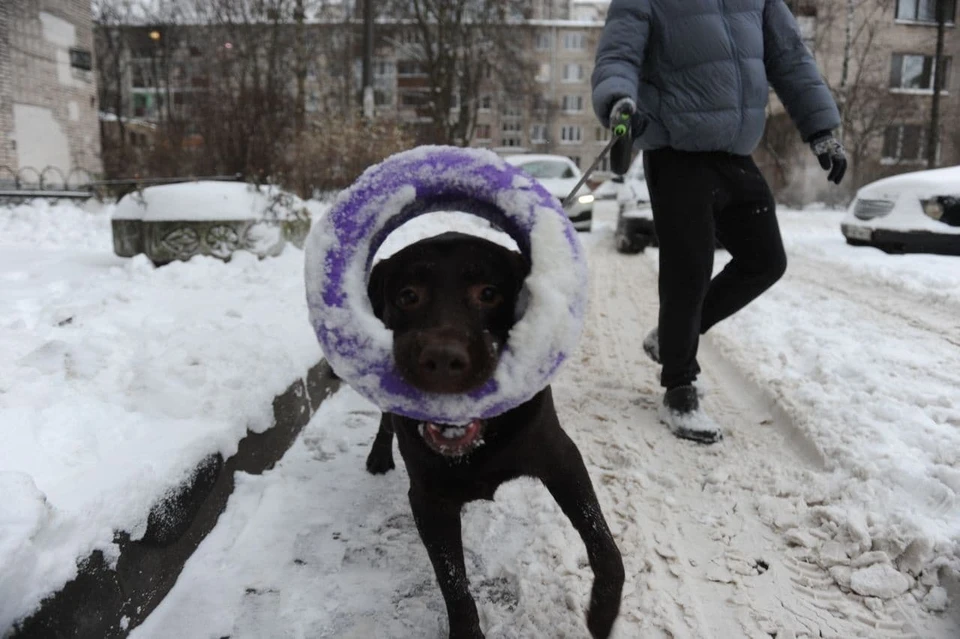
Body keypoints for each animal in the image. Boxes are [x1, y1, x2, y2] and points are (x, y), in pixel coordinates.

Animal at [364, 232, 628, 636]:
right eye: (408, 296)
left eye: (488, 293)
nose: (443, 360)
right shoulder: (428, 500)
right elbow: (453, 584)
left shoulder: (562, 459)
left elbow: (603, 541)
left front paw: (602, 612)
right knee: (384, 419)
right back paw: (379, 455)